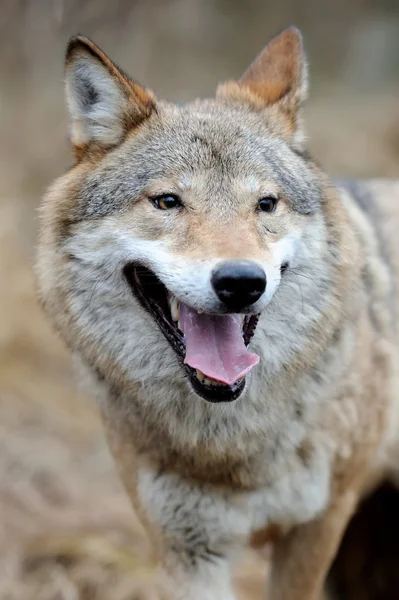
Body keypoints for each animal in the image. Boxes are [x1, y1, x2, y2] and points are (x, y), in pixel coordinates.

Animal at [35, 27, 399, 600]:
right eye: (167, 201)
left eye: (266, 204)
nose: (241, 283)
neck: (227, 446)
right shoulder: (186, 548)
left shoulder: (317, 525)